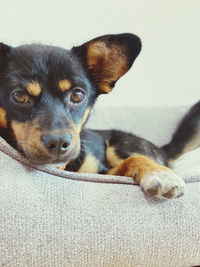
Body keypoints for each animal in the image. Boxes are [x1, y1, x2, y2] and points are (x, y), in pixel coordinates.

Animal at [0, 33, 200, 200]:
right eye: (19, 96)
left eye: (77, 95)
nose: (58, 143)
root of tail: (163, 149)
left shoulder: (103, 172)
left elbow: (133, 159)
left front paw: (159, 173)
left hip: (118, 144)